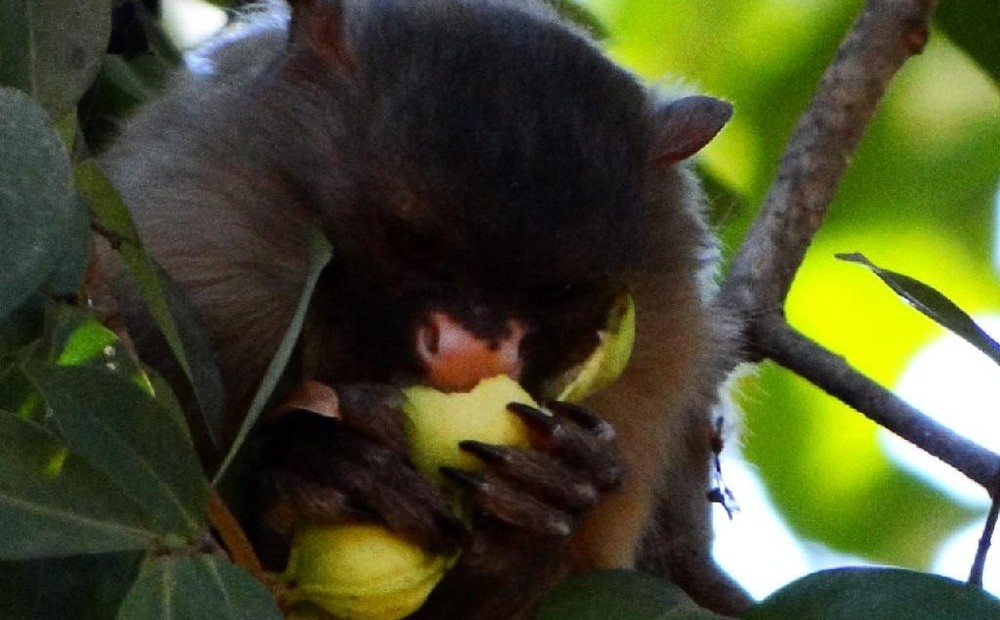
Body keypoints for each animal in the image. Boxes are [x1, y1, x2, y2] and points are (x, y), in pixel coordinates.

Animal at [99, 1, 736, 616]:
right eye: (414, 243)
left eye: (559, 292)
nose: (471, 353)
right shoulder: (208, 259)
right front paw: (317, 468)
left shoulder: (654, 361)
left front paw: (532, 521)